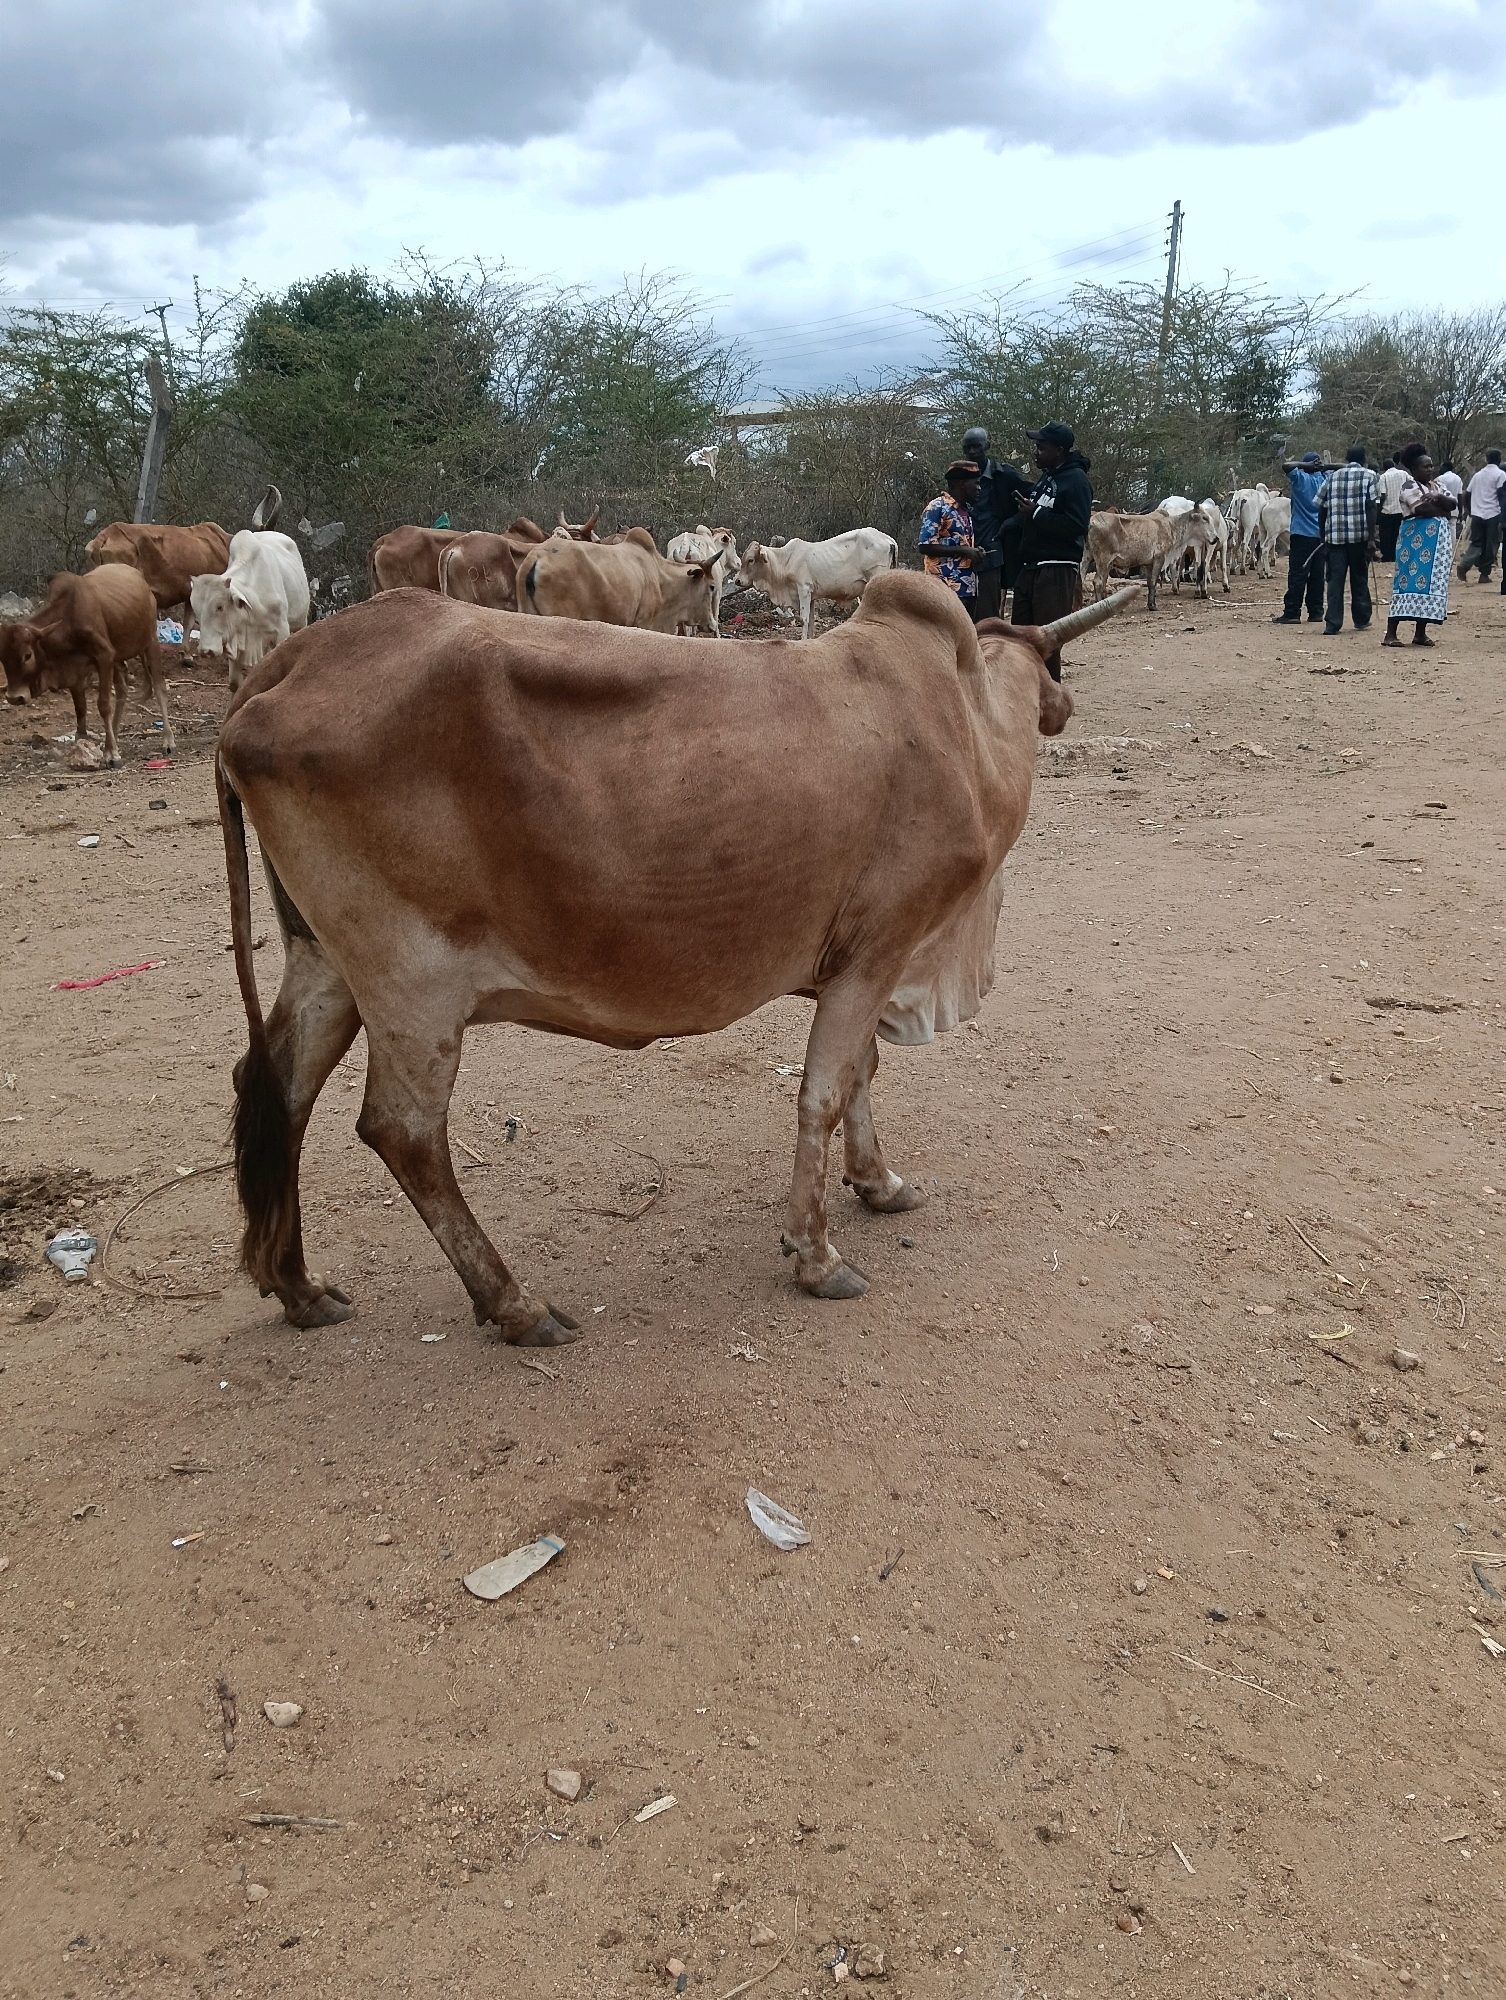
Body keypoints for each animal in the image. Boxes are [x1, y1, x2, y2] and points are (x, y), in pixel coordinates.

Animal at [0, 566, 172, 765]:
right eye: (2, 657)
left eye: (27, 655)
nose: (14, 698)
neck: (68, 619)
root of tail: (139, 576)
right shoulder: (76, 672)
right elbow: (80, 709)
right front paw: (84, 744)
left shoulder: (105, 656)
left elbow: (103, 705)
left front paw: (112, 754)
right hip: (119, 657)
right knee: (122, 690)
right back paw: (113, 736)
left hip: (150, 642)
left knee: (159, 687)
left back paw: (168, 740)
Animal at [190, 530, 311, 692]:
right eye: (196, 609)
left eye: (220, 606)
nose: (206, 651)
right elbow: (235, 684)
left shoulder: (281, 631)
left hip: (301, 622)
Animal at [215, 573, 1139, 1338]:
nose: (1063, 704)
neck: (968, 728)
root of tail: (294, 659)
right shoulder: (879, 951)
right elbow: (825, 1093)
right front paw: (816, 1256)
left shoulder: (861, 966)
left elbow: (861, 1076)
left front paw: (880, 1186)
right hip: (414, 987)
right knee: (403, 1132)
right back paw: (514, 1305)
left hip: (328, 966)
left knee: (277, 1088)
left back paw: (299, 1287)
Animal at [734, 528, 898, 639]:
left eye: (751, 560)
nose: (737, 581)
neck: (785, 561)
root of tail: (888, 539)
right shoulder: (812, 595)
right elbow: (812, 620)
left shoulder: (803, 589)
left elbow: (804, 619)